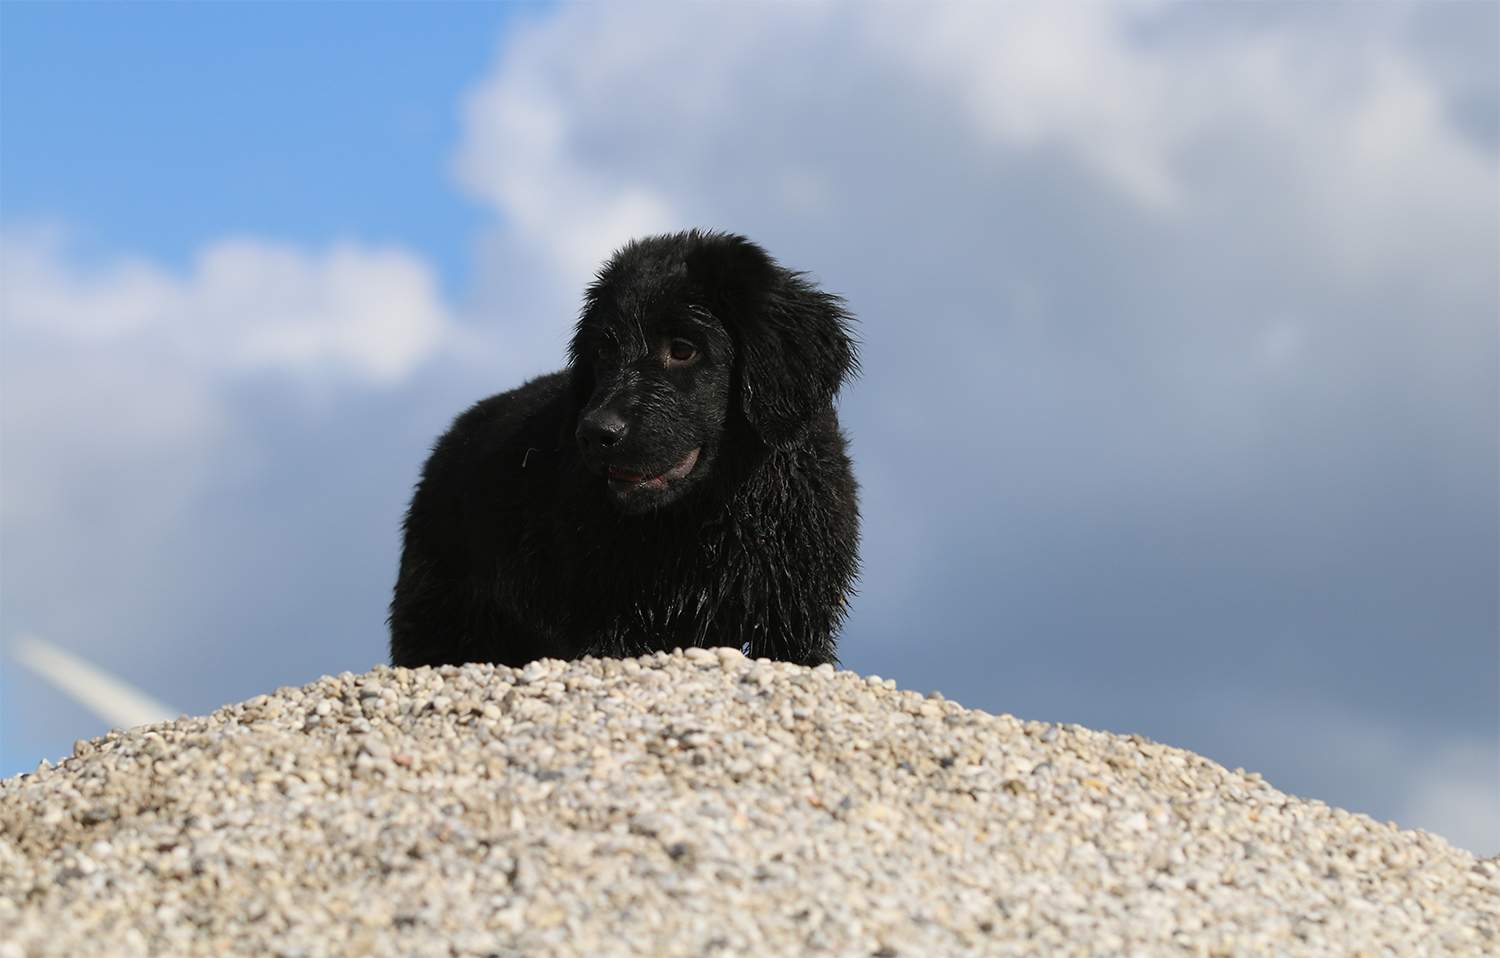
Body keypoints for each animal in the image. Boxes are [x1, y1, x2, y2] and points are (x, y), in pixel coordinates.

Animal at [389, 231, 859, 668]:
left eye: (683, 349)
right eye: (602, 351)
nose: (595, 434)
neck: (713, 516)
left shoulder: (796, 625)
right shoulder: (613, 623)